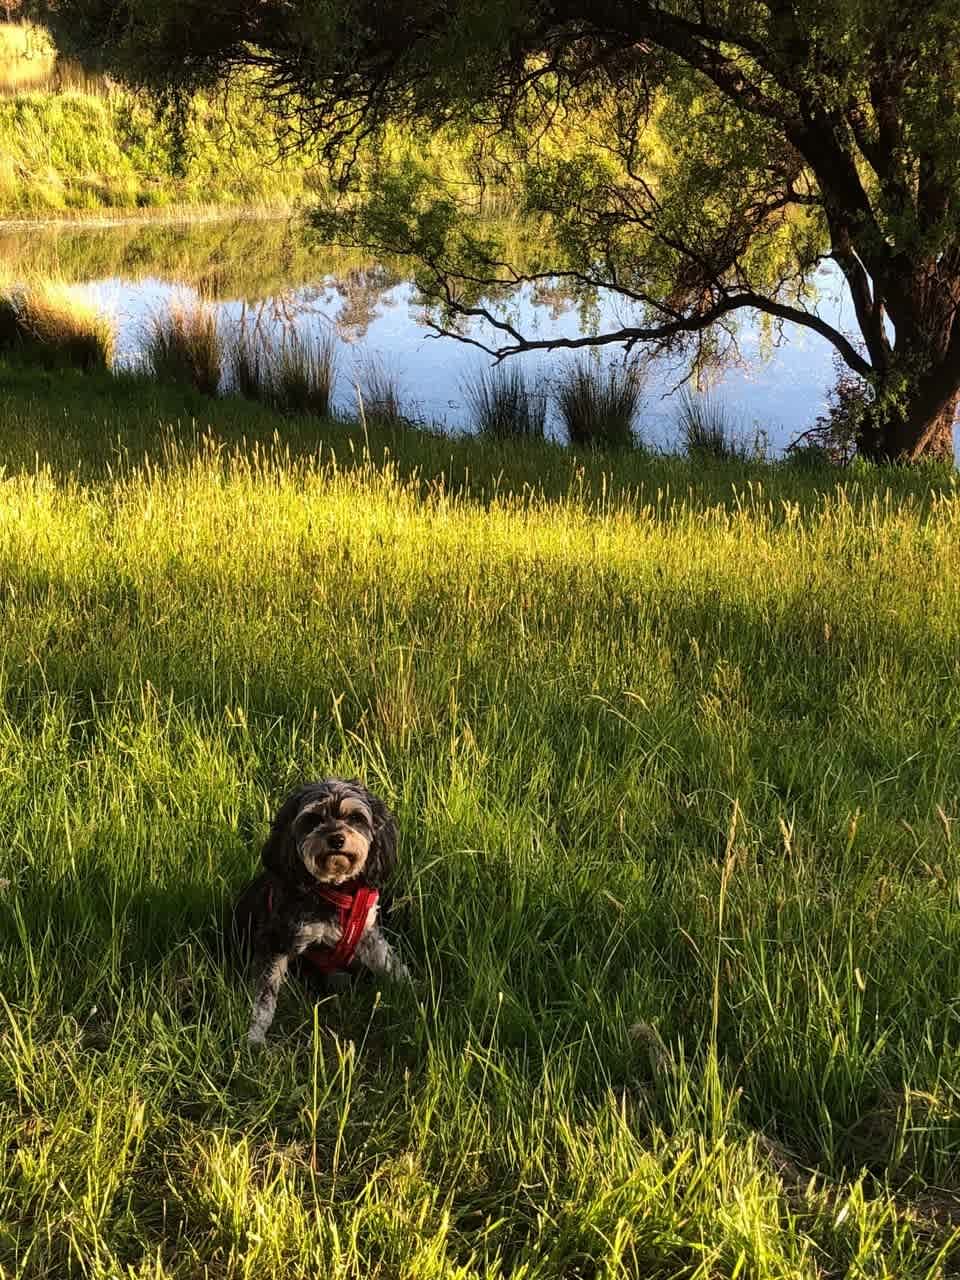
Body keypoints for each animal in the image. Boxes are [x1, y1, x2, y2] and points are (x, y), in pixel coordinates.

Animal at [235, 773, 412, 1044]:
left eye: (355, 818)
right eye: (314, 819)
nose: (337, 839)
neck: (335, 891)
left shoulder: (367, 933)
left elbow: (389, 962)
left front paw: (414, 990)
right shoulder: (275, 939)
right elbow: (264, 996)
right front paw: (255, 1035)